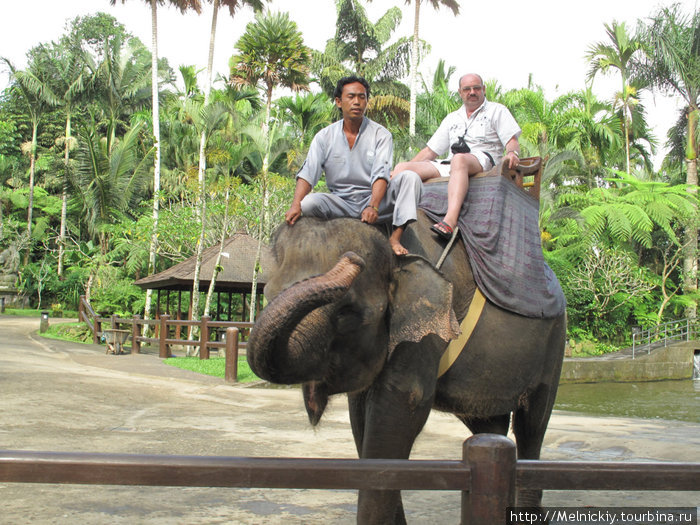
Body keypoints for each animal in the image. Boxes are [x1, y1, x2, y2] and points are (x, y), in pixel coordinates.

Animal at [249, 211, 568, 520]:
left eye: (347, 313)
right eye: (268, 295)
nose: (352, 261)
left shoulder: (427, 331)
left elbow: (398, 409)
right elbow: (361, 421)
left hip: (554, 346)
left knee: (532, 425)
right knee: (490, 425)